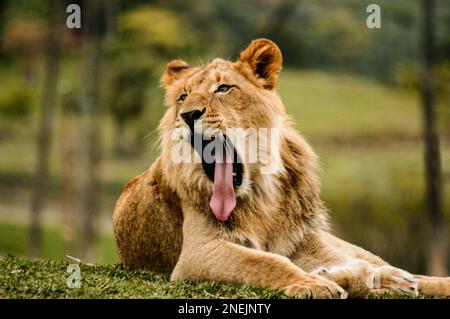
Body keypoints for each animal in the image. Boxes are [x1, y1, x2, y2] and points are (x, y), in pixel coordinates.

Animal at [113, 38, 450, 298]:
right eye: (182, 97)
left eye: (223, 88)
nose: (188, 114)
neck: (261, 193)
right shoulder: (197, 253)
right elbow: (267, 262)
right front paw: (316, 283)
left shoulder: (305, 240)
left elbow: (357, 267)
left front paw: (337, 276)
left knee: (382, 263)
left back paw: (413, 279)